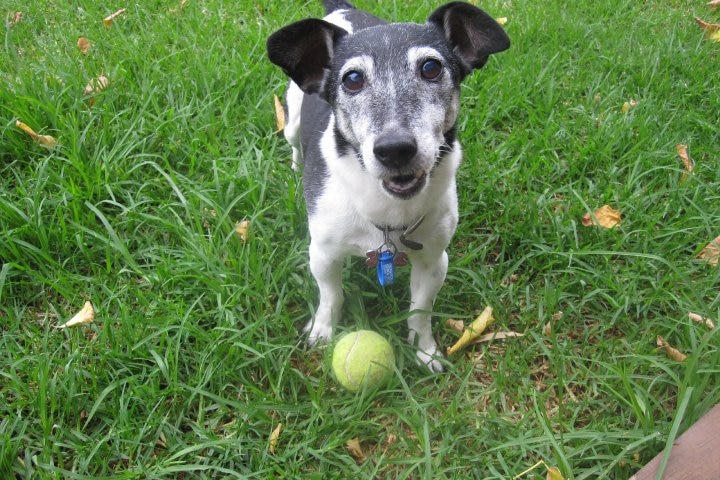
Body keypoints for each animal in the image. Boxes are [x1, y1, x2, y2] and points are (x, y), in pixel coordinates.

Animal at [268, 0, 510, 372]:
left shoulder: (434, 262)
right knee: (294, 142)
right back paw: (296, 167)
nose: (395, 148)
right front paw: (323, 331)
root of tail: (343, 8)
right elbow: (331, 295)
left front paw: (424, 350)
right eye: (352, 79)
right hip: (292, 120)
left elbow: (420, 310)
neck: (386, 211)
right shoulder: (322, 255)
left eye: (430, 68)